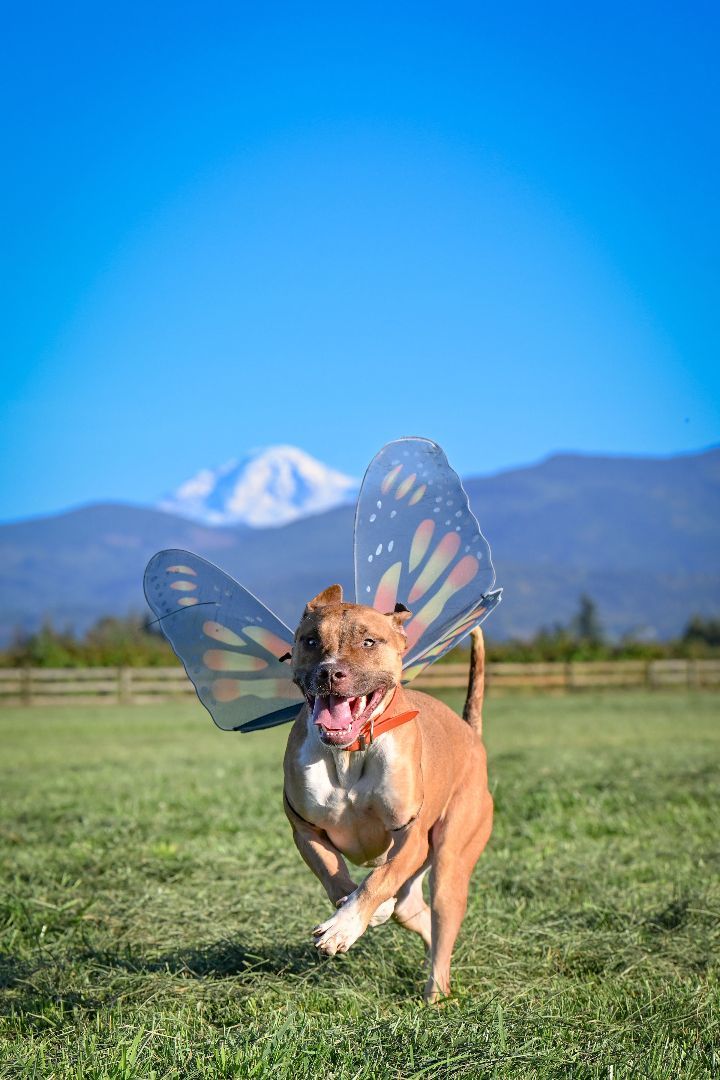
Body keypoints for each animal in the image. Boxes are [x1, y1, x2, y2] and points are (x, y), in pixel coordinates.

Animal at [282, 587, 496, 997]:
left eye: (369, 642)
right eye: (311, 640)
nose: (329, 672)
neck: (349, 753)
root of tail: (471, 733)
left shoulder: (410, 837)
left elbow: (377, 880)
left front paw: (344, 925)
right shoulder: (306, 830)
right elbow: (337, 877)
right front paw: (356, 913)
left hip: (451, 858)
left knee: (442, 919)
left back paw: (435, 993)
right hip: (415, 891)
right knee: (415, 913)